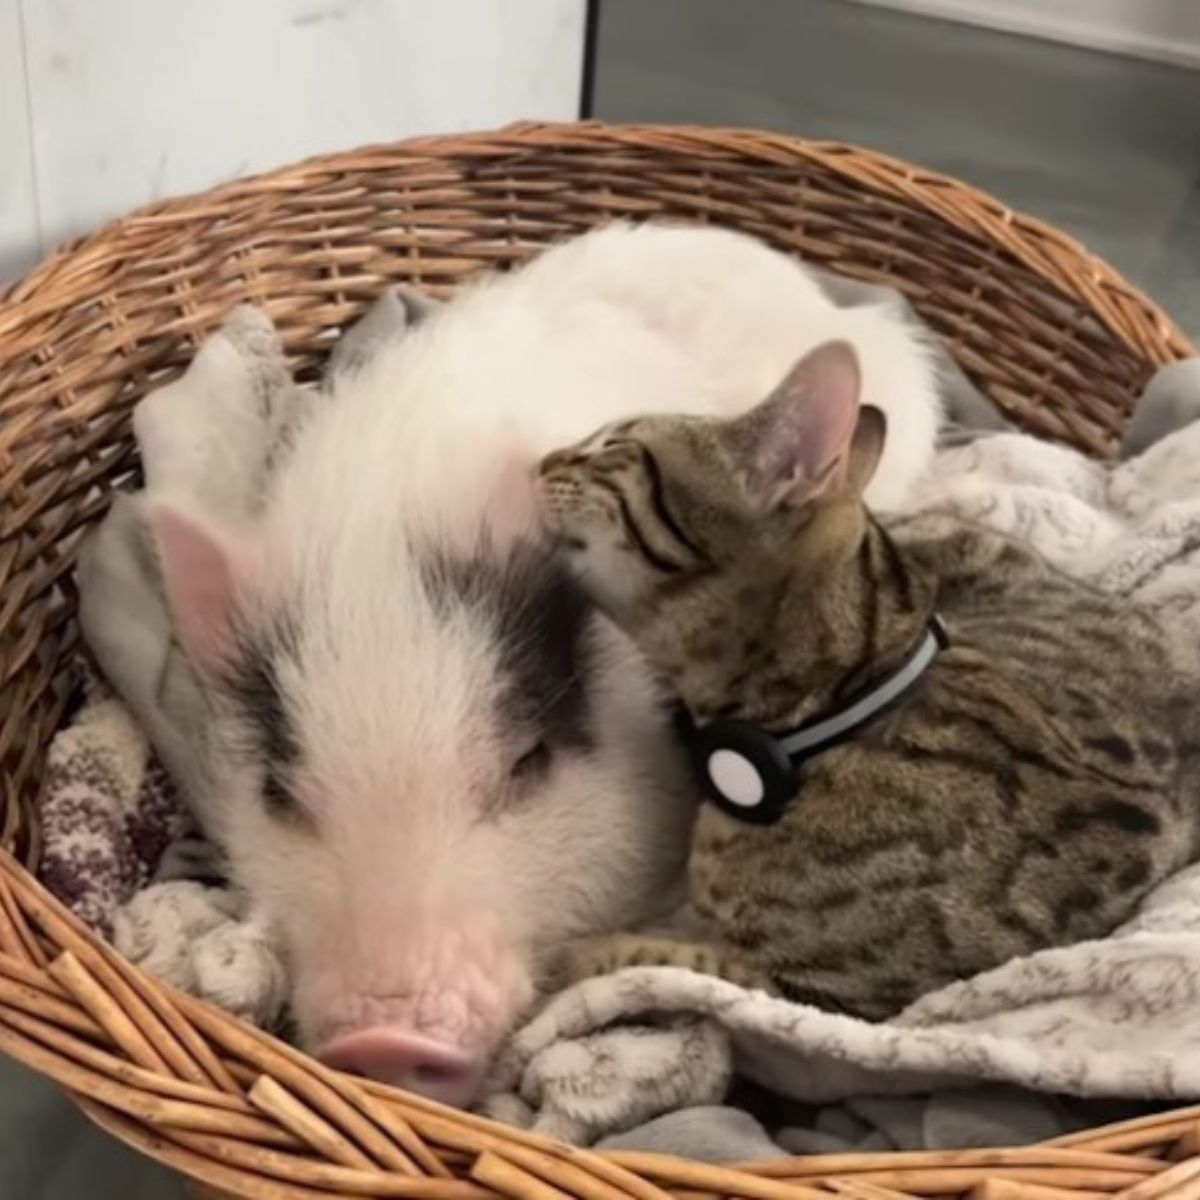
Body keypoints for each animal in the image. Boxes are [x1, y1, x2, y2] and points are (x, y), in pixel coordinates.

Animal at [535, 343, 1200, 1017]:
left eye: (614, 445)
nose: (544, 459)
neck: (829, 716)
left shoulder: (825, 996)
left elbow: (662, 964)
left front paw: (559, 965)